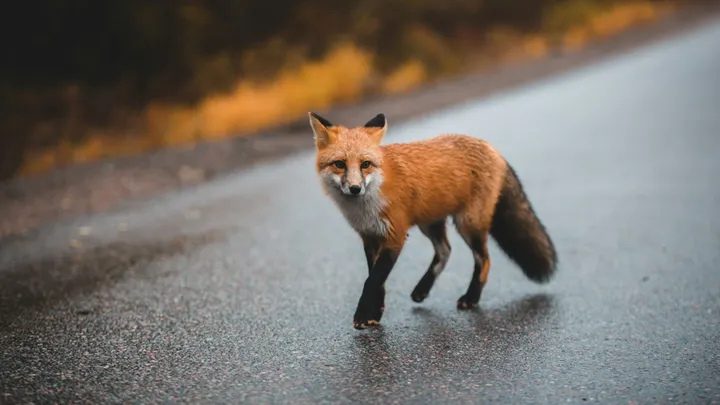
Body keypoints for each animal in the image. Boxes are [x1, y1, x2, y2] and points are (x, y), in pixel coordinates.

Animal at [309, 111, 558, 330]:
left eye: (365, 164)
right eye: (340, 164)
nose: (355, 188)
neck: (368, 203)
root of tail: (492, 149)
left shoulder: (395, 235)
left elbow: (373, 280)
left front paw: (362, 315)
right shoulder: (370, 236)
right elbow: (377, 280)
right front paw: (375, 314)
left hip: (468, 223)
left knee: (484, 259)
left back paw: (471, 298)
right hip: (430, 223)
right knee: (445, 251)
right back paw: (423, 289)